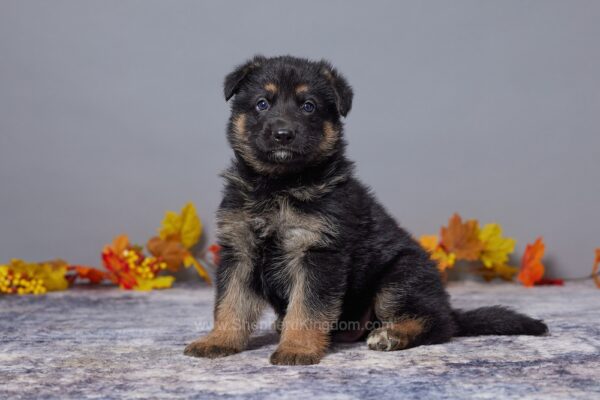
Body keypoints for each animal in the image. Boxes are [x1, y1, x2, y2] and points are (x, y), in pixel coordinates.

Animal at [184, 56, 548, 366]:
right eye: (262, 103)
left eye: (308, 106)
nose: (283, 134)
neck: (279, 186)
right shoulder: (239, 249)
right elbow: (230, 304)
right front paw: (218, 341)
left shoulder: (319, 253)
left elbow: (308, 308)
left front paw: (297, 347)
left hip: (398, 280)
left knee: (440, 324)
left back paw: (392, 336)